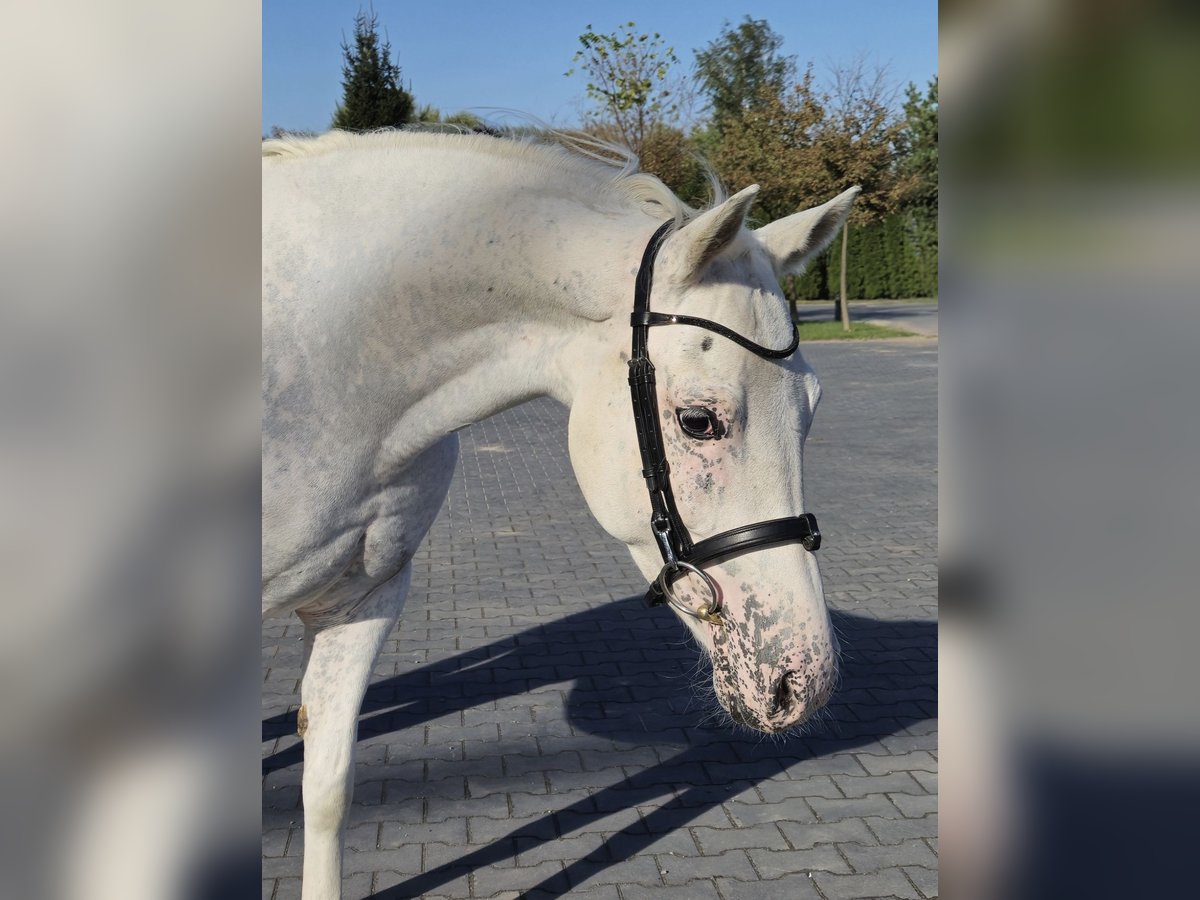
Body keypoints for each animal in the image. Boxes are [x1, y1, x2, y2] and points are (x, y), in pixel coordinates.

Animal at [264, 130, 864, 897]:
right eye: (698, 420)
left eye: (811, 410)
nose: (803, 680)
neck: (329, 373)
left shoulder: (362, 601)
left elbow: (328, 789)